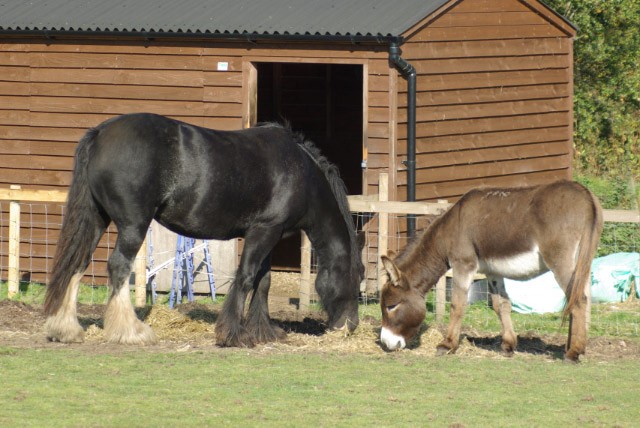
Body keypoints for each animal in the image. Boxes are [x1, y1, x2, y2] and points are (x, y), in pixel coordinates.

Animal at [44, 113, 363, 347]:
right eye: (357, 276)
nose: (350, 326)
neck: (300, 172)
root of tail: (100, 133)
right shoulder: (264, 232)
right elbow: (246, 278)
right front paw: (231, 334)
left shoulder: (270, 234)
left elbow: (264, 281)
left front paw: (263, 332)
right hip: (133, 225)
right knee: (119, 266)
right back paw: (130, 331)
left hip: (96, 218)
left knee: (78, 263)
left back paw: (66, 329)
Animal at [379, 180, 603, 362]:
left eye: (391, 306)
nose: (386, 344)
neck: (449, 230)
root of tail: (585, 194)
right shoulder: (493, 271)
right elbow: (501, 305)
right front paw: (508, 345)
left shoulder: (463, 264)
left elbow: (457, 305)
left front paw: (447, 344)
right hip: (583, 261)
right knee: (581, 299)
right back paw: (574, 347)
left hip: (560, 260)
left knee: (578, 300)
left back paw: (573, 353)